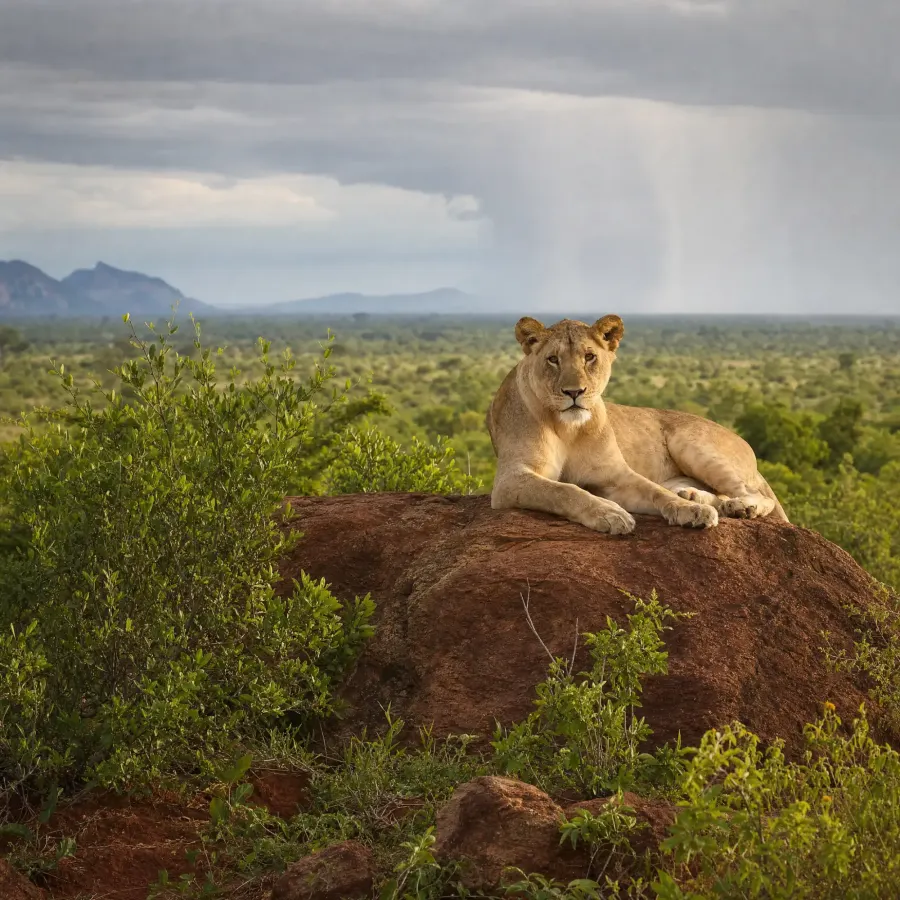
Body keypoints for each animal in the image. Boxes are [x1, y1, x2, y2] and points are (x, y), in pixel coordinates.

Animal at [486, 315, 788, 534]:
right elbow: (563, 490)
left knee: (755, 494)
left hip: (691, 443)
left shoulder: (616, 476)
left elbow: (654, 490)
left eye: (589, 357)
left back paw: (738, 507)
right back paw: (695, 496)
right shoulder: (511, 479)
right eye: (553, 359)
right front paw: (610, 512)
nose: (574, 392)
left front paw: (689, 510)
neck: (569, 427)